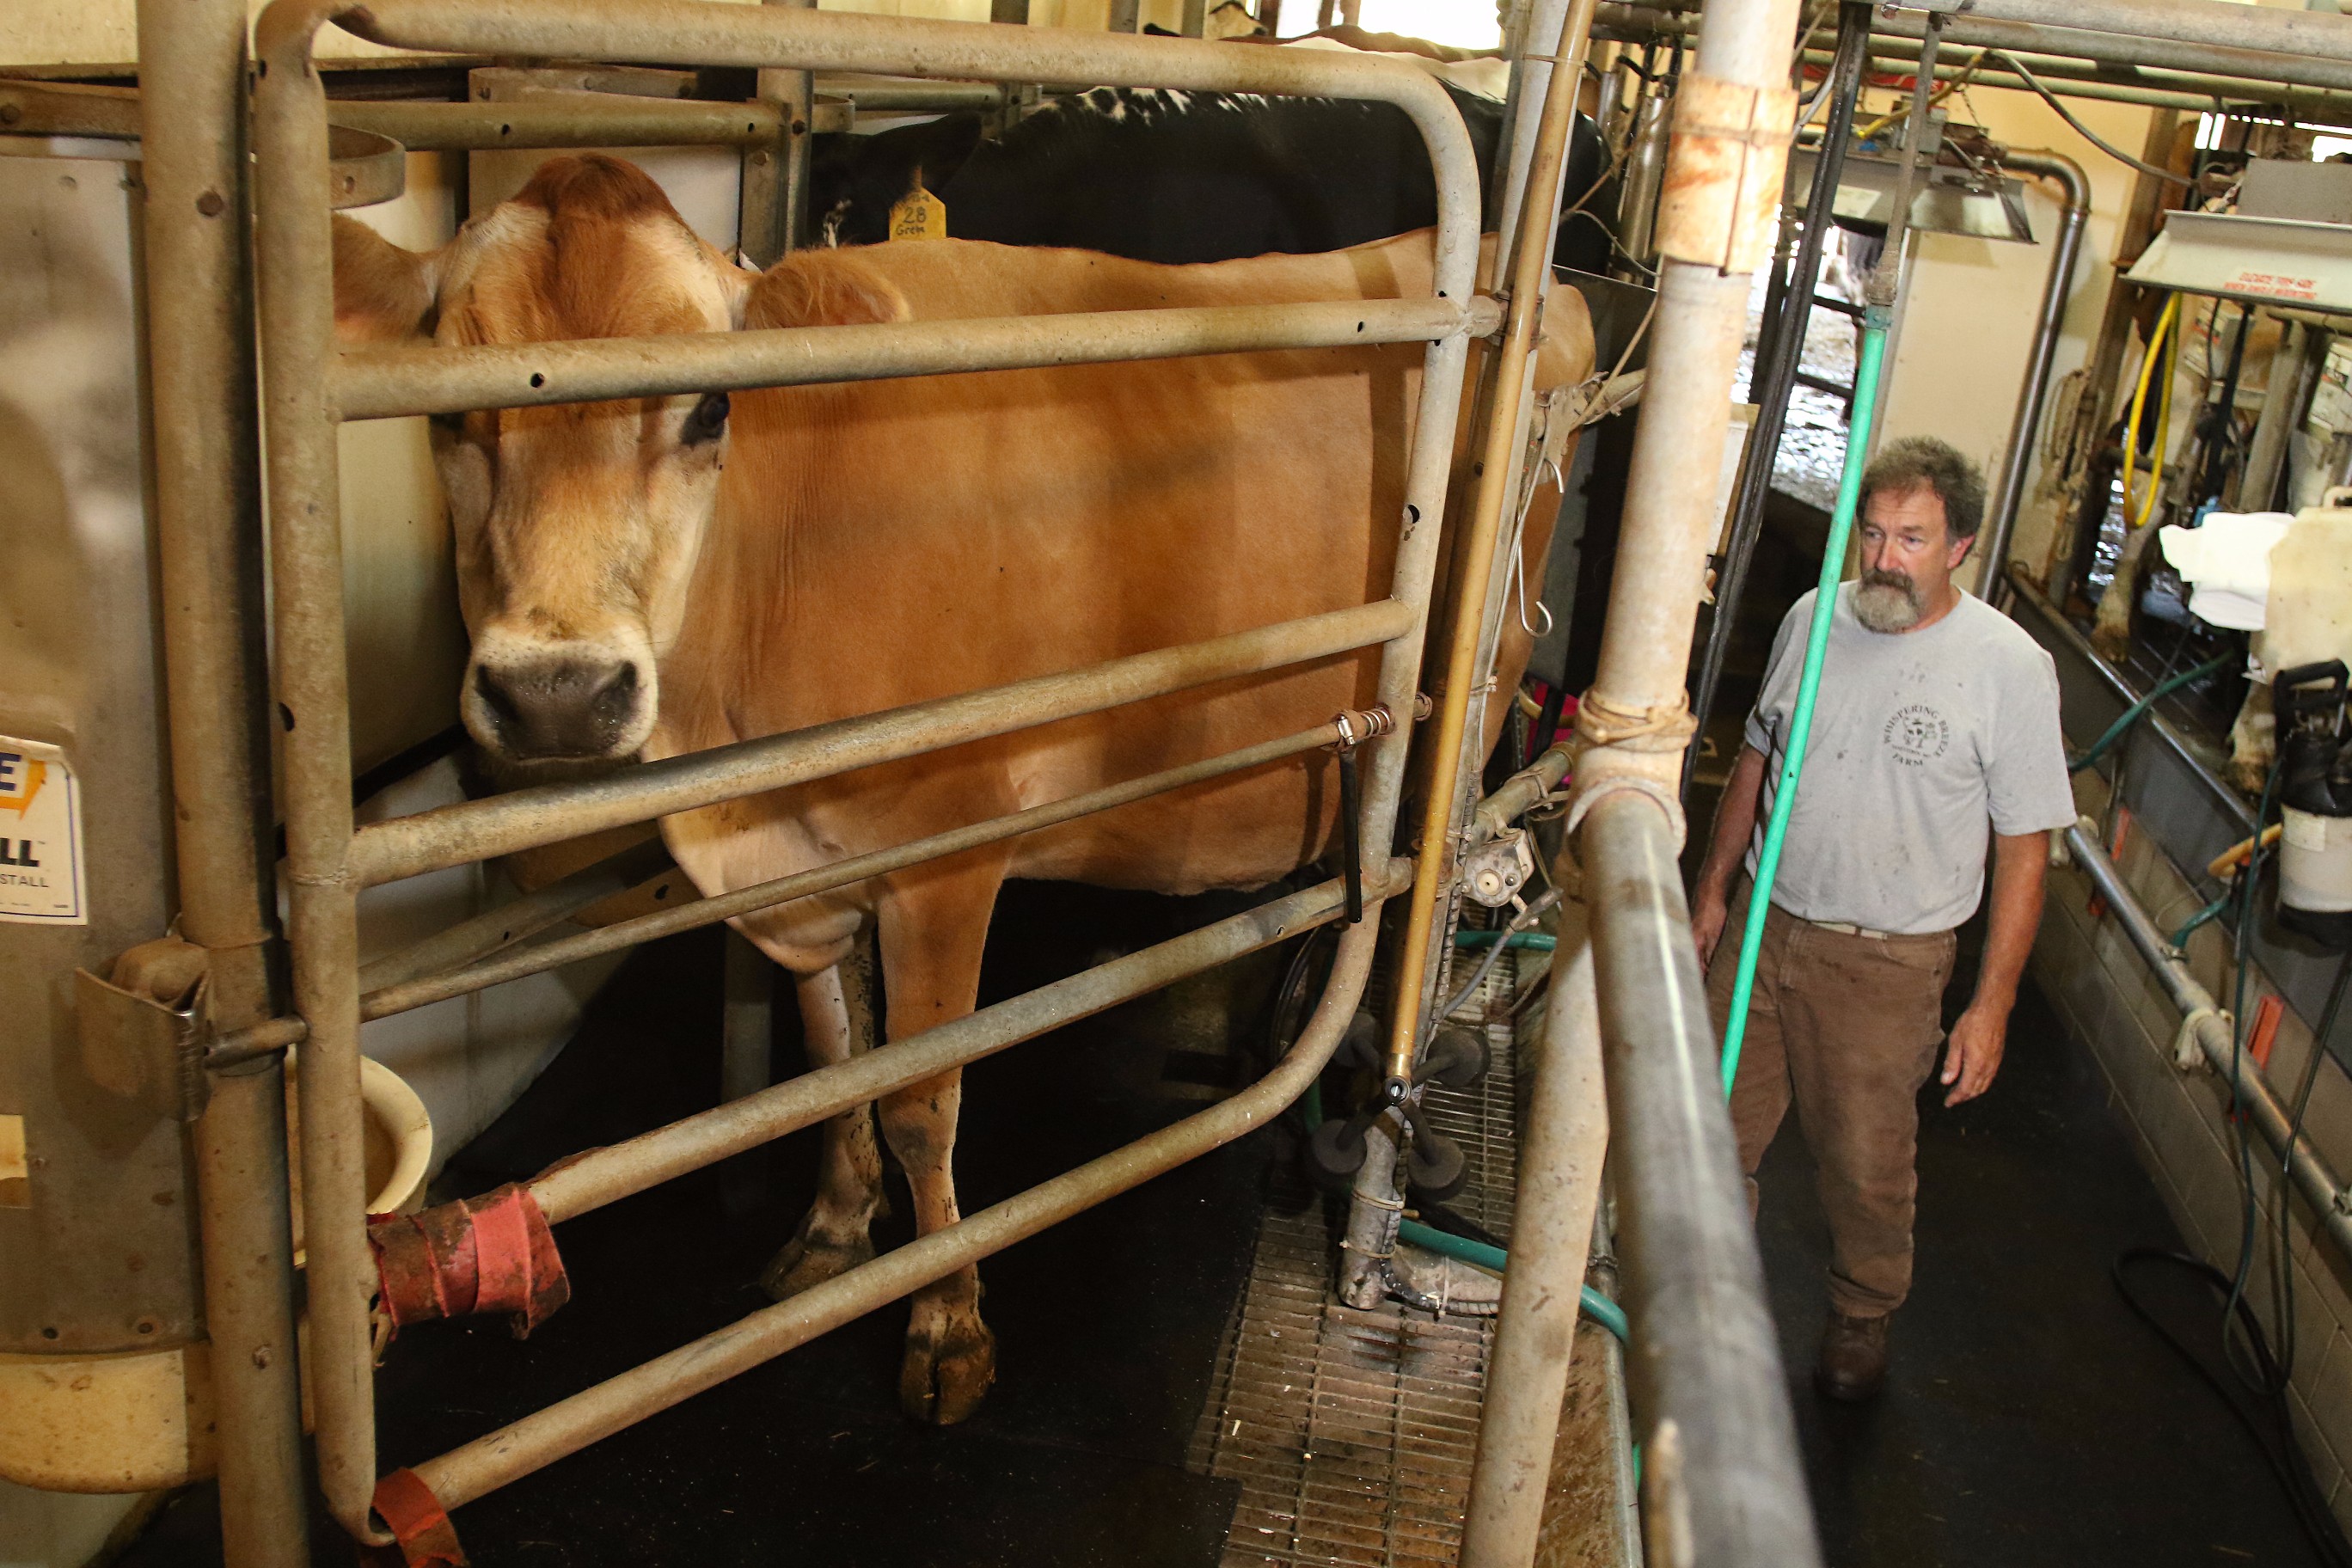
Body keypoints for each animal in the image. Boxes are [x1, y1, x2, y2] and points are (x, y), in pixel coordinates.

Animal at [332, 154, 1590, 1423]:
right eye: (448, 412)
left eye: (709, 408)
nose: (558, 692)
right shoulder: (805, 865)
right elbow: (833, 1064)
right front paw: (834, 1234)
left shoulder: (945, 857)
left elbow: (919, 1101)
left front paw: (945, 1320)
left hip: (1475, 704)